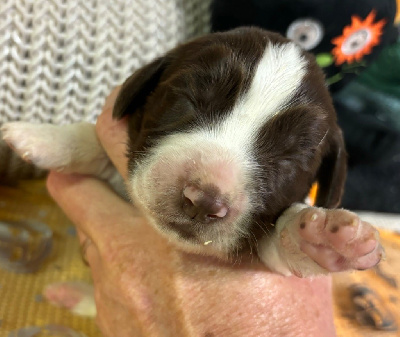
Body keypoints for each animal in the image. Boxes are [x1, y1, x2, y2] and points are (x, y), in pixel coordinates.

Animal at [1, 28, 382, 278]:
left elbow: (280, 242)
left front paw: (319, 241)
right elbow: (98, 145)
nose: (203, 201)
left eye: (290, 157)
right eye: (189, 100)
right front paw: (42, 136)